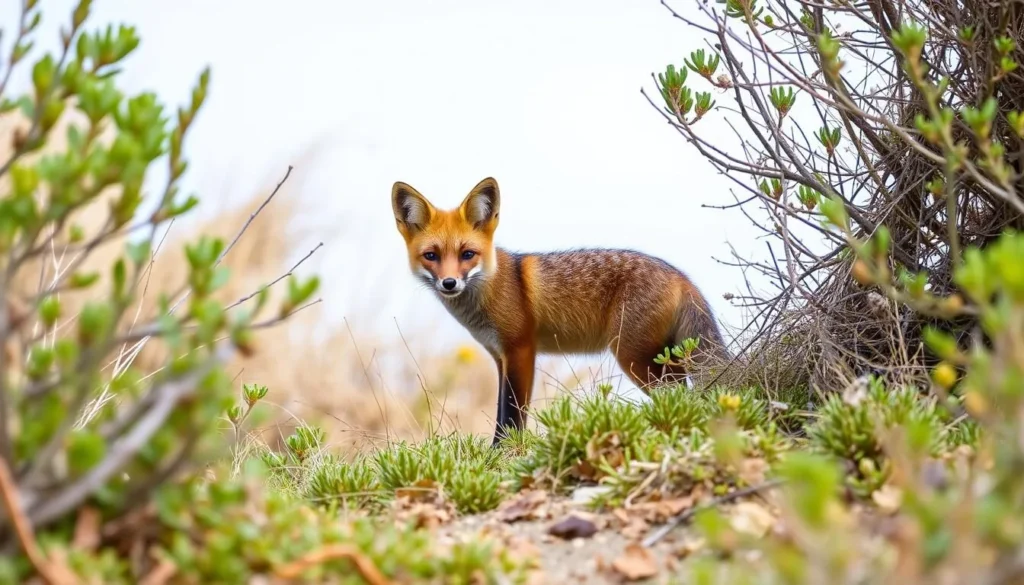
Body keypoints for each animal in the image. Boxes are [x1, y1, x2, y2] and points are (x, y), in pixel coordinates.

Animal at [391, 177, 730, 445]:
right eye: (431, 256)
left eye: (467, 254)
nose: (449, 283)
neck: (493, 287)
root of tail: (681, 276)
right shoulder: (499, 357)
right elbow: (502, 412)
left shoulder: (521, 350)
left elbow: (511, 417)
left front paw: (502, 455)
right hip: (664, 359)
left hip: (634, 358)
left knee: (681, 396)